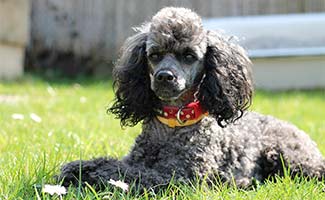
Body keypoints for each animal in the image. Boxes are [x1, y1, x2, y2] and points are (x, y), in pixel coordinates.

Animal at [58, 6, 324, 191]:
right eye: (154, 55)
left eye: (188, 56)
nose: (165, 76)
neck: (173, 124)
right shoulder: (139, 159)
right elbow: (116, 162)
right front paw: (80, 166)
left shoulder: (178, 178)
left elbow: (126, 172)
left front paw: (87, 173)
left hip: (292, 158)